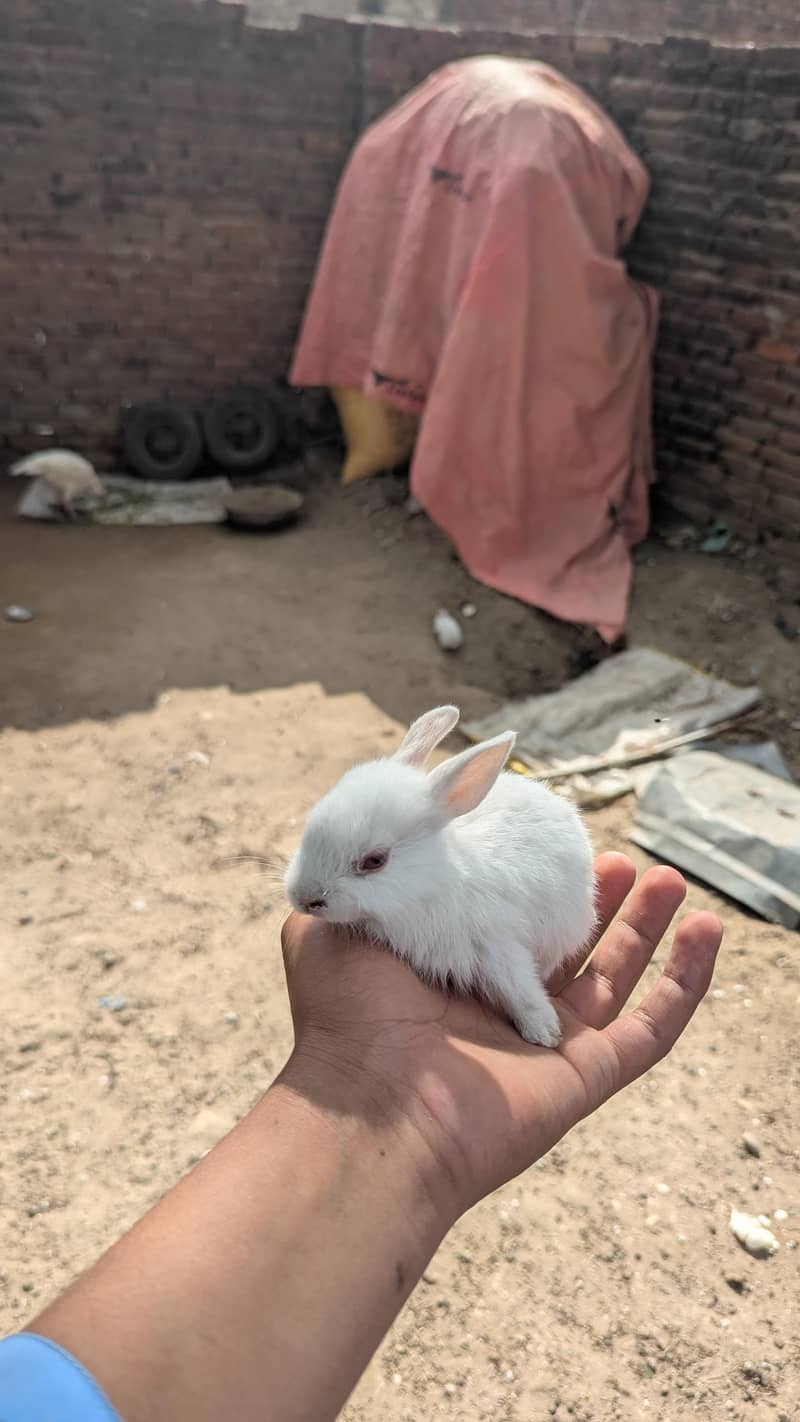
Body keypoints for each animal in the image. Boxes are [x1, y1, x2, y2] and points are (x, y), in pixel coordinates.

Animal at [284, 705, 596, 1048]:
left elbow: (520, 989)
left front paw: (544, 1033)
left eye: (375, 861)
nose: (303, 898)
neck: (428, 885)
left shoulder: (497, 945)